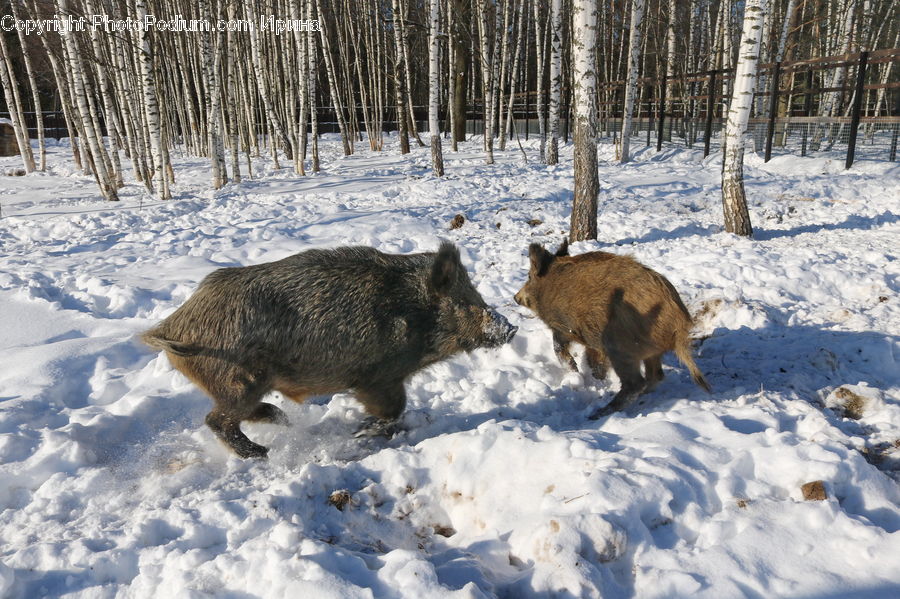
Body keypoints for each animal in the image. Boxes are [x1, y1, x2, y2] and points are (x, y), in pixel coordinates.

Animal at [142, 242, 517, 458]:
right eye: (465, 302)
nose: (510, 328)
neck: (412, 312)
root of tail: (170, 325)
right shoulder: (376, 377)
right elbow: (392, 409)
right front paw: (361, 432)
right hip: (237, 381)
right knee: (217, 420)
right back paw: (261, 452)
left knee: (241, 414)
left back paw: (280, 421)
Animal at [514, 239, 710, 418]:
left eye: (529, 276)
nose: (515, 297)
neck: (548, 288)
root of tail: (678, 321)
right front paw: (595, 378)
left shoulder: (564, 328)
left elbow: (559, 347)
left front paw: (575, 371)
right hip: (649, 352)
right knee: (656, 375)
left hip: (619, 347)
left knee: (635, 383)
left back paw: (598, 413)